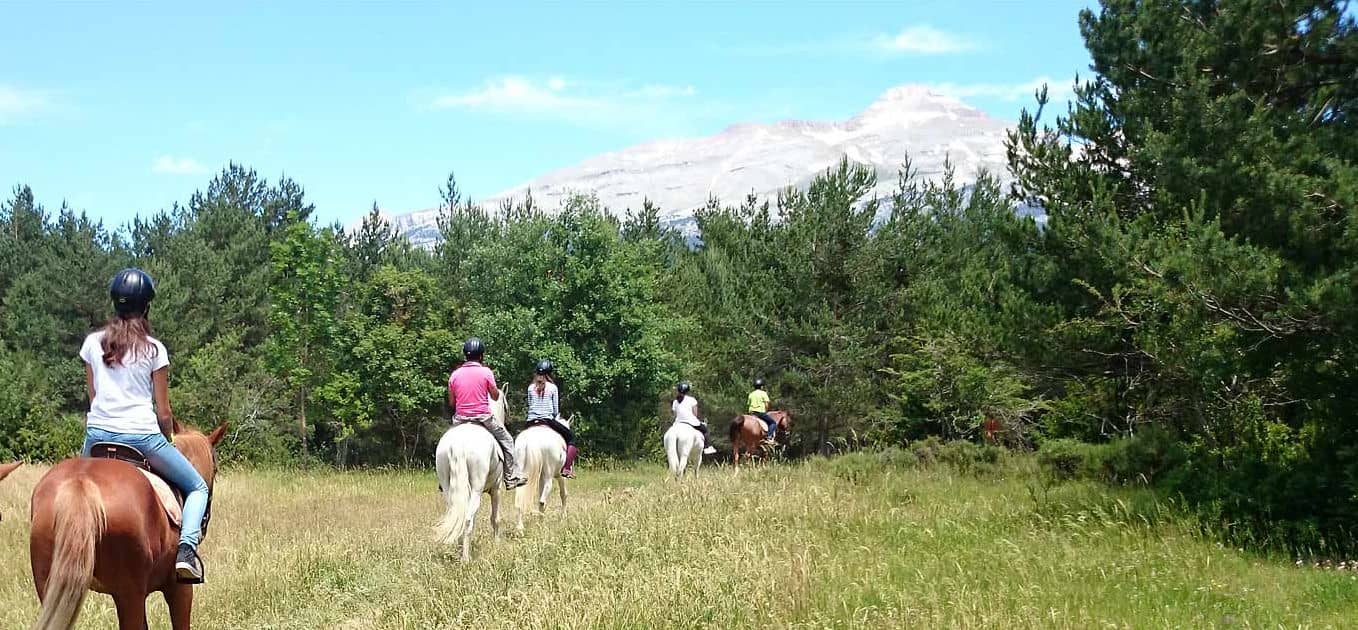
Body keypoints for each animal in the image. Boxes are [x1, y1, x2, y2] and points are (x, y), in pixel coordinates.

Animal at [431, 388, 507, 562]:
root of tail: (458, 444)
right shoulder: (496, 489)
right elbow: (495, 518)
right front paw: (497, 544)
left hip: (449, 489)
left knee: (458, 516)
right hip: (477, 490)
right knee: (467, 520)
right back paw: (466, 559)